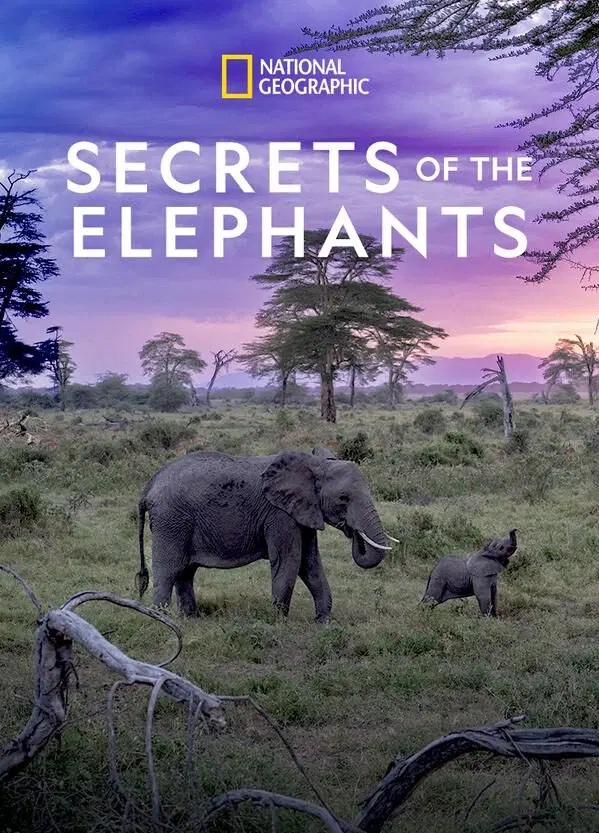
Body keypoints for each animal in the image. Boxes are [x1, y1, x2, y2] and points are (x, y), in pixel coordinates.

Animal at [135, 448, 393, 621]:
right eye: (343, 498)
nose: (353, 531)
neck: (314, 464)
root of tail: (150, 485)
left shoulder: (302, 513)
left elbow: (310, 563)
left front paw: (323, 622)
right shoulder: (279, 515)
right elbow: (290, 561)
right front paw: (279, 622)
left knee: (185, 571)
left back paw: (191, 618)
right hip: (171, 521)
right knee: (169, 569)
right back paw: (160, 619)